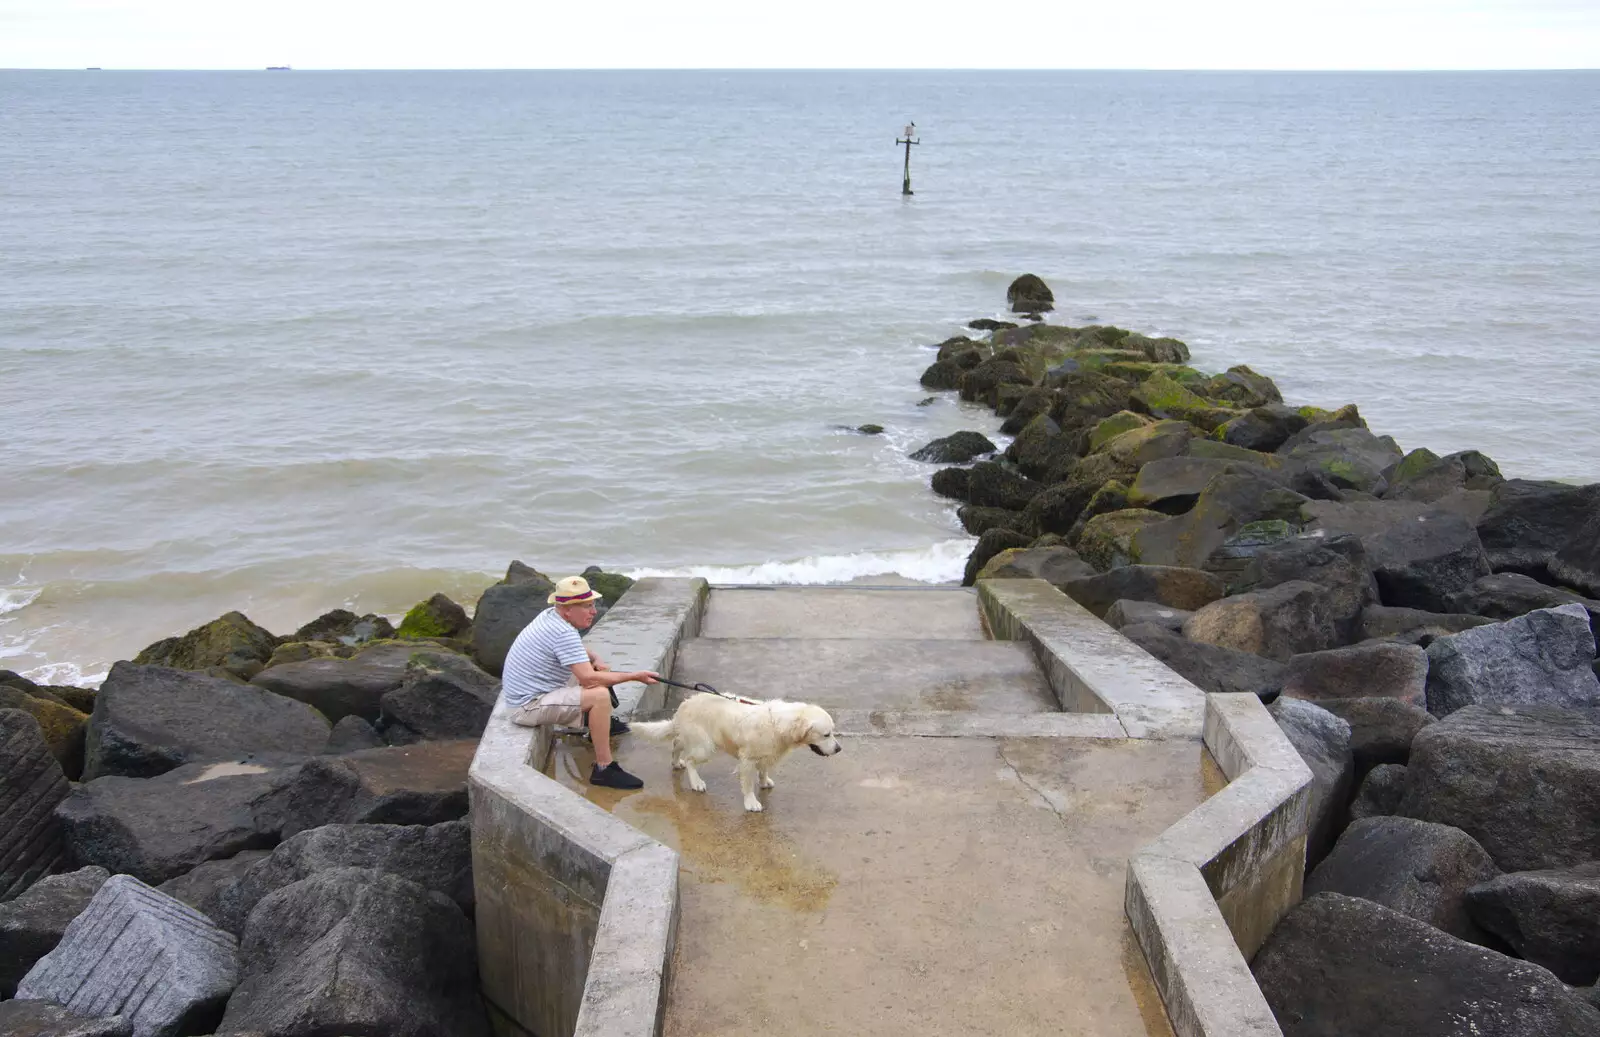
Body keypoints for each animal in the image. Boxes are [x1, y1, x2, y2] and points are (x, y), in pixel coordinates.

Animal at [630, 697, 844, 809]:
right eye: (826, 734)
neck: (778, 724)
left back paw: (676, 763)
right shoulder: (747, 759)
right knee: (690, 759)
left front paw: (765, 782)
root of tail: (683, 705)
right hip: (706, 746)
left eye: (833, 732)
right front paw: (751, 802)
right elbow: (748, 783)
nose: (839, 749)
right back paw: (696, 782)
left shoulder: (765, 754)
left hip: (690, 738)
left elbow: (763, 770)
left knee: (676, 745)